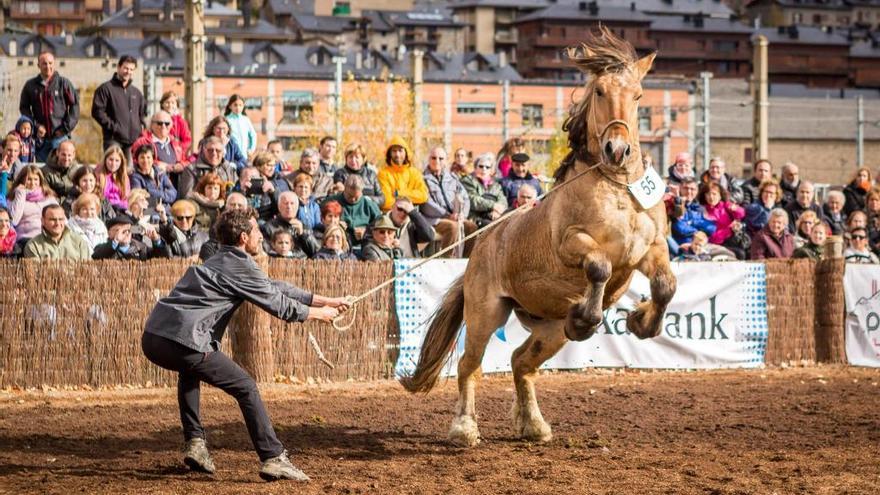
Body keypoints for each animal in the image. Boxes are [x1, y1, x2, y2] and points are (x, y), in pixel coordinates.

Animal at [402, 30, 676, 450]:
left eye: (639, 95)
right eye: (599, 91)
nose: (618, 149)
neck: (616, 190)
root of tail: (481, 247)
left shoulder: (649, 249)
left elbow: (665, 285)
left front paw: (641, 320)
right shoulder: (571, 244)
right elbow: (599, 266)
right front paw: (587, 317)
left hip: (548, 330)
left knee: (521, 362)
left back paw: (534, 424)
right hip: (485, 314)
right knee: (470, 365)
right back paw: (464, 428)